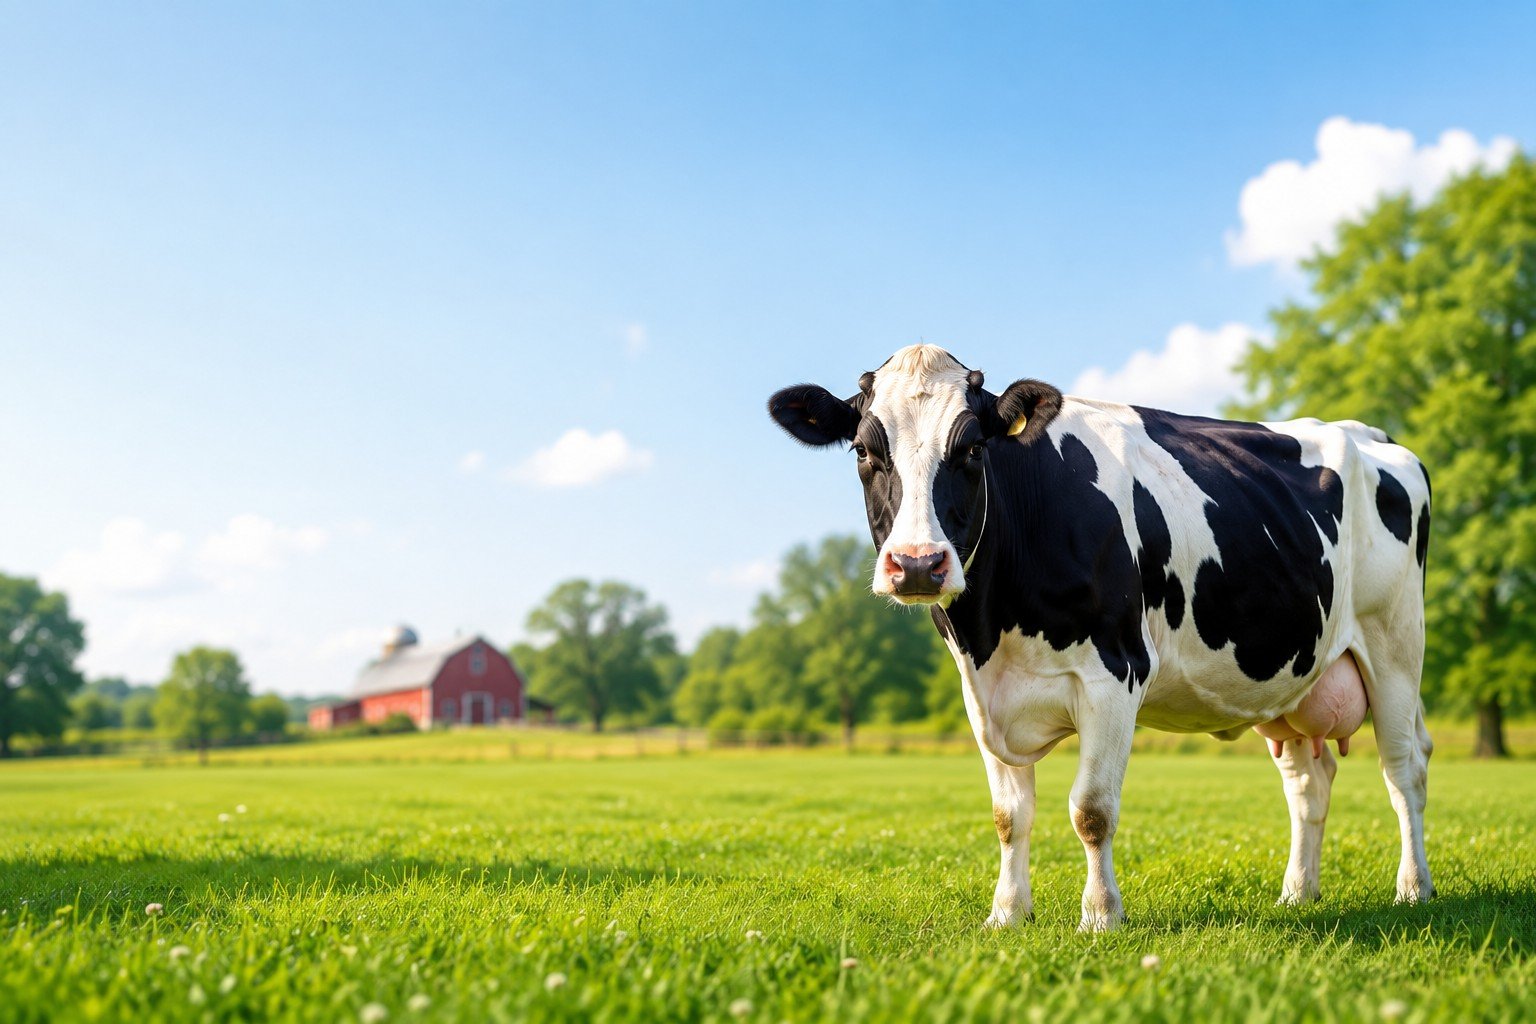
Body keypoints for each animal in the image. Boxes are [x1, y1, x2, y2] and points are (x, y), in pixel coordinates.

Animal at [768, 344, 1434, 931]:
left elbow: (1091, 810)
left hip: (1396, 647)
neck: (994, 626)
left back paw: (1414, 888)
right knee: (1308, 784)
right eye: (862, 450)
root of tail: (1374, 436)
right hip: (1294, 678)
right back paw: (1298, 892)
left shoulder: (1115, 674)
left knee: (1405, 770)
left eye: (974, 448)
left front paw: (1101, 915)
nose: (916, 564)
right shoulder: (980, 693)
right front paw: (1007, 913)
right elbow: (1009, 816)